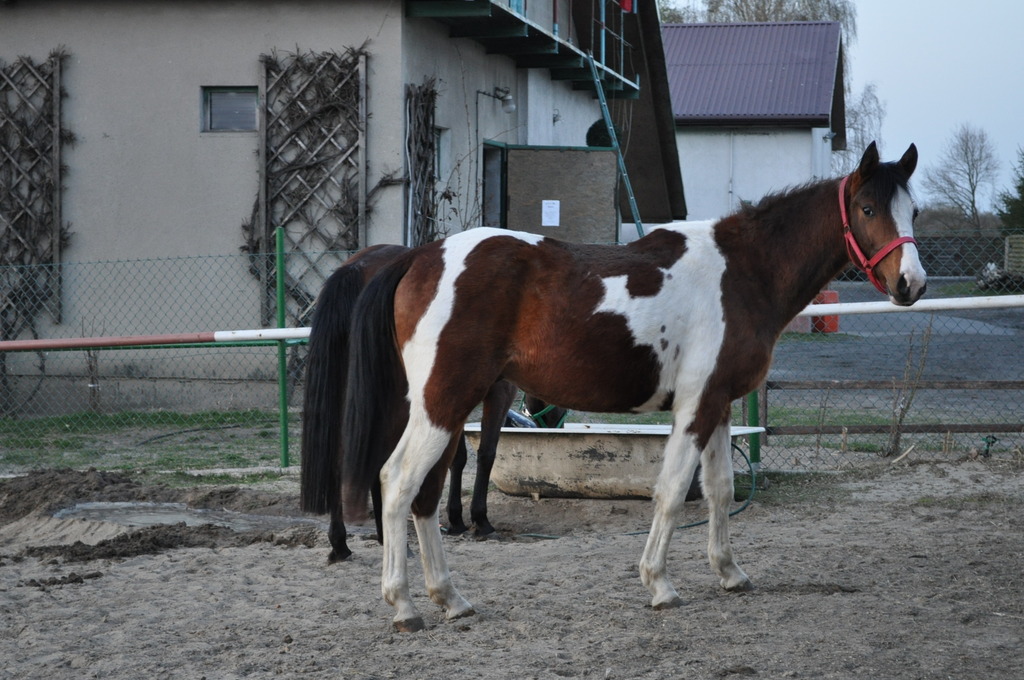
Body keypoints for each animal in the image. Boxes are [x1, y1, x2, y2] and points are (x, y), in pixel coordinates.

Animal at [300, 245, 565, 562]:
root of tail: (357, 266)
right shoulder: (497, 392)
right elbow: (486, 453)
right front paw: (480, 520)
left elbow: (456, 458)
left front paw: (456, 519)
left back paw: (343, 543)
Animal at [341, 142, 926, 632]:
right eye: (868, 209)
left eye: (913, 211)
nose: (911, 284)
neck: (741, 272)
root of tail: (419, 257)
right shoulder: (695, 406)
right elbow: (671, 492)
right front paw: (660, 585)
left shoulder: (718, 404)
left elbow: (719, 489)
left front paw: (729, 573)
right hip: (442, 404)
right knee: (397, 483)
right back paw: (405, 607)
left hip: (449, 406)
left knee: (424, 495)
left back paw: (451, 599)